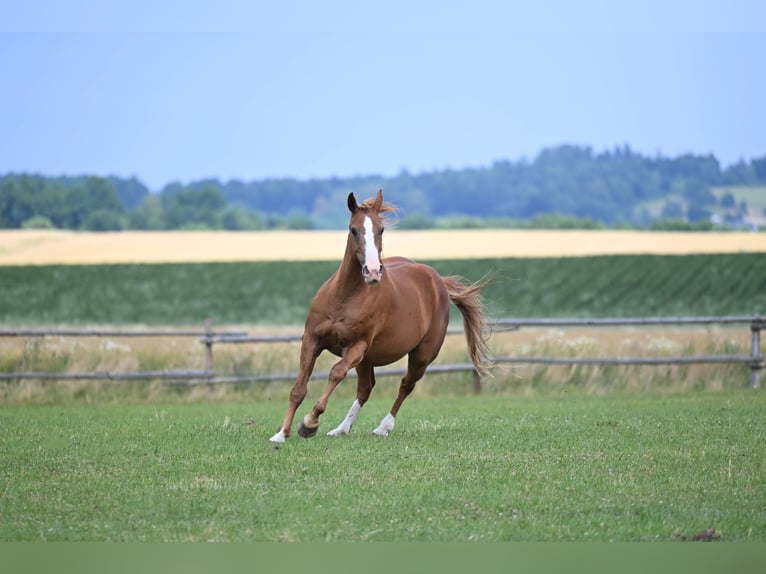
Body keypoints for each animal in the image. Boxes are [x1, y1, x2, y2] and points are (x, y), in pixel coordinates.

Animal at [269, 189, 491, 443]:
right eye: (353, 229)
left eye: (381, 229)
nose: (373, 272)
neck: (344, 297)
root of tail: (438, 281)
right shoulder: (311, 340)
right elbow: (298, 388)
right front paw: (282, 434)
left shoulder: (356, 347)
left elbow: (336, 373)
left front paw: (309, 422)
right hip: (368, 360)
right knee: (366, 388)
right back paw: (342, 429)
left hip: (421, 355)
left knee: (405, 385)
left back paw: (383, 427)